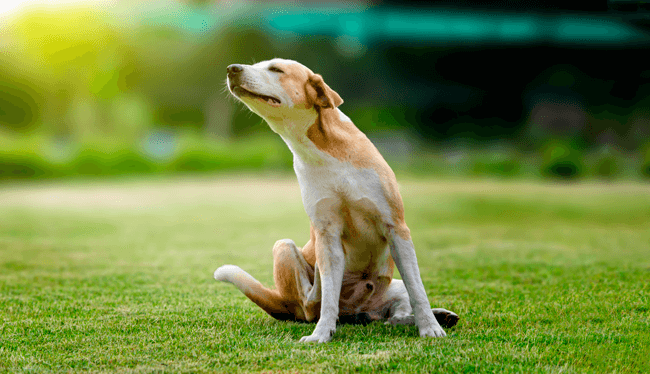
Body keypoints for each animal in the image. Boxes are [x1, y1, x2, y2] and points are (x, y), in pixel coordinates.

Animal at [213, 57, 456, 342]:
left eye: (276, 69)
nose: (232, 69)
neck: (322, 148)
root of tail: (357, 311)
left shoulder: (396, 228)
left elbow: (418, 289)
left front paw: (430, 327)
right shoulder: (327, 233)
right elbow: (328, 298)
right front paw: (320, 335)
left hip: (391, 287)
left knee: (392, 317)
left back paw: (436, 316)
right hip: (285, 247)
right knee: (311, 304)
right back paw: (319, 288)